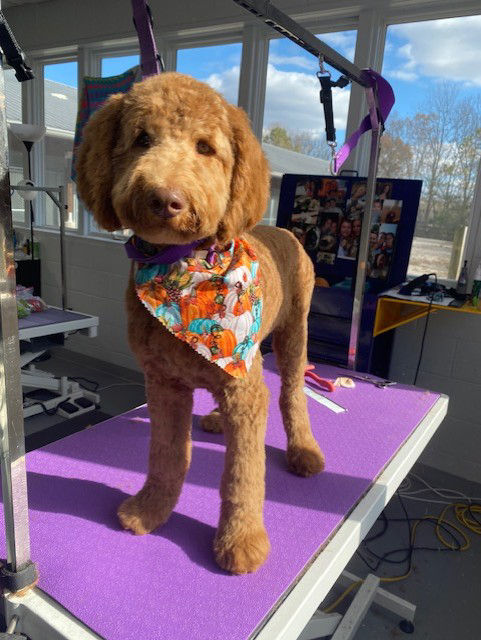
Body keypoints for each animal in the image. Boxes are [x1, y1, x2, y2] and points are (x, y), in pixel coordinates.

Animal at [77, 71, 324, 576]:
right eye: (142, 139)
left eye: (205, 147)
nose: (165, 199)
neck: (182, 271)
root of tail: (282, 229)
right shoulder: (164, 385)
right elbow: (167, 455)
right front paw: (151, 509)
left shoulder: (245, 392)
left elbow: (243, 475)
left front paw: (242, 540)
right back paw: (212, 421)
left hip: (293, 335)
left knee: (291, 392)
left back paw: (303, 449)